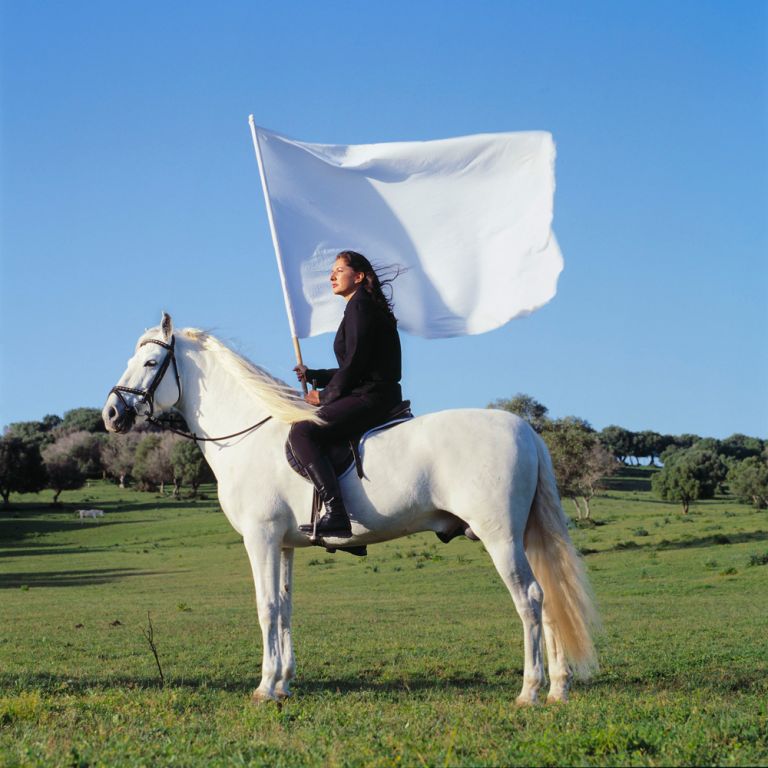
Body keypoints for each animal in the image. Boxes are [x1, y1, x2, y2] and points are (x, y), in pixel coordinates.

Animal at [103, 312, 600, 704]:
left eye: (150, 363)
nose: (111, 414)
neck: (250, 434)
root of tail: (526, 429)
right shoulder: (284, 545)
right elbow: (285, 608)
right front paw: (283, 683)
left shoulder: (261, 539)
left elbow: (266, 606)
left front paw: (265, 687)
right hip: (523, 537)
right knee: (549, 598)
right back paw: (558, 688)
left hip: (500, 537)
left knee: (530, 598)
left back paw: (530, 690)